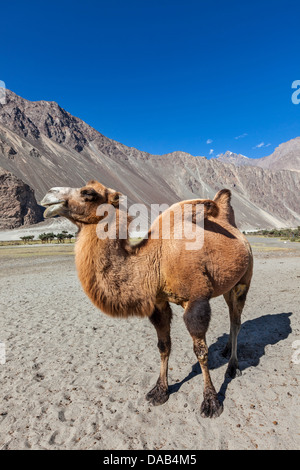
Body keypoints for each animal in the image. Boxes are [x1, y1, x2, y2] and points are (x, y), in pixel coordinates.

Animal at [41, 181, 252, 418]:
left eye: (88, 193)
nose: (49, 195)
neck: (156, 261)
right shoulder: (158, 302)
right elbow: (163, 346)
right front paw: (159, 391)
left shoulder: (196, 300)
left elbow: (201, 352)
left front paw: (211, 401)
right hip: (228, 285)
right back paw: (225, 350)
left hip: (244, 280)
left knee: (236, 320)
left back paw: (233, 367)